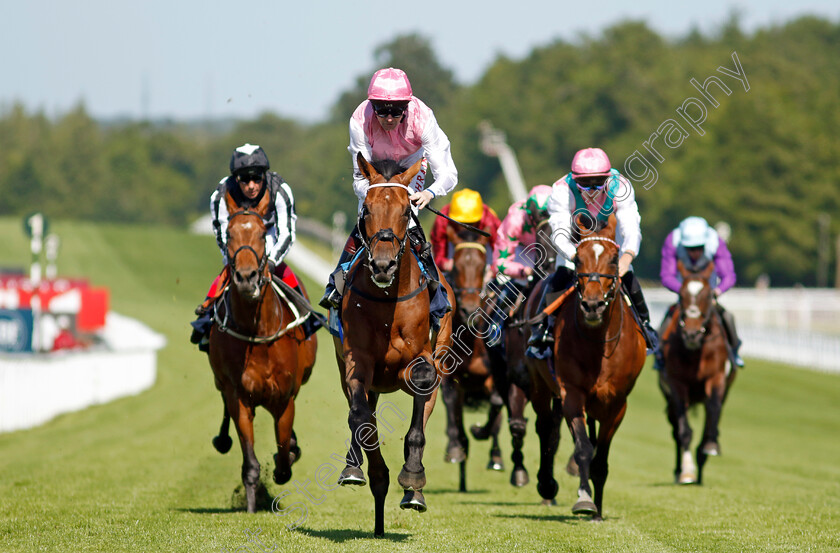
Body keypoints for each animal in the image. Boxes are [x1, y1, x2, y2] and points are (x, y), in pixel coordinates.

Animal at [207, 192, 318, 512]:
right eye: (229, 234)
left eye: (260, 233)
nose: (246, 277)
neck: (257, 333)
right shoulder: (239, 397)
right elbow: (251, 463)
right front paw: (251, 503)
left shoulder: (284, 398)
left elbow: (282, 456)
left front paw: (288, 455)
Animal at [332, 153, 456, 536]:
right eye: (367, 208)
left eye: (406, 210)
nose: (383, 264)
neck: (387, 302)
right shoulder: (356, 362)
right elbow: (360, 418)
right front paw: (373, 474)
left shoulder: (420, 360)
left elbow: (420, 403)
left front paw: (412, 476)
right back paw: (354, 468)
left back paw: (414, 491)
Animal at [528, 213, 648, 516]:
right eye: (578, 259)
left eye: (614, 259)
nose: (592, 305)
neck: (598, 343)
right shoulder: (571, 392)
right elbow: (583, 448)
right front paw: (584, 500)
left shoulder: (617, 403)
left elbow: (600, 458)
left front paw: (599, 509)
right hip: (540, 385)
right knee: (546, 429)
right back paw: (546, 484)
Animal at [656, 258, 736, 484]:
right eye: (681, 294)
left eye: (708, 295)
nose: (691, 333)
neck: (696, 350)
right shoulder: (676, 384)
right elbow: (684, 430)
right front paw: (687, 471)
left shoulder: (717, 378)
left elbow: (713, 411)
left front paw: (709, 446)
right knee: (675, 427)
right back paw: (681, 470)